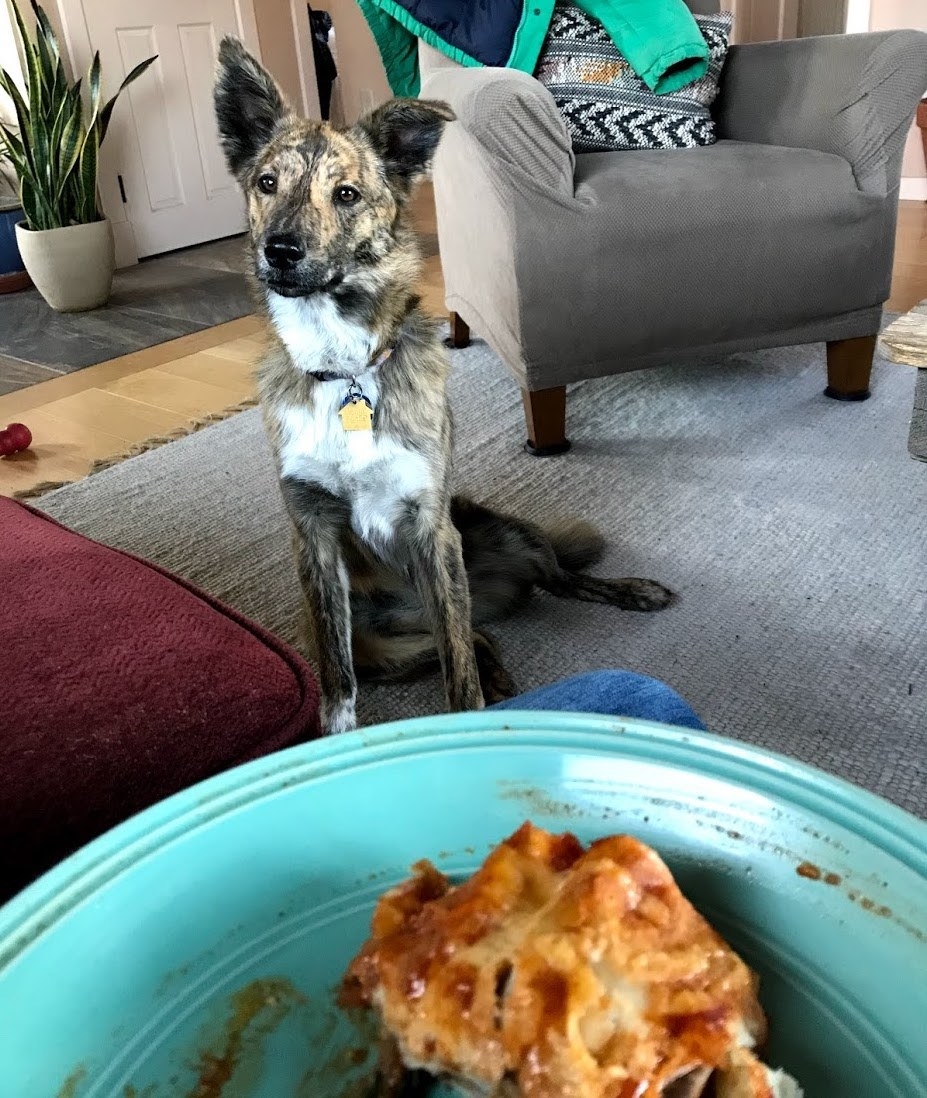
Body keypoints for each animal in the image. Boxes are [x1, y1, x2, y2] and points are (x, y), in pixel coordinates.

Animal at [211, 38, 672, 733]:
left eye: (346, 194)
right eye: (267, 183)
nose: (280, 251)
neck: (344, 367)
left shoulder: (433, 528)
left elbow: (460, 673)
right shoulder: (313, 536)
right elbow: (338, 680)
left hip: (501, 533)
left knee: (549, 587)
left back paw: (630, 592)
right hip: (388, 648)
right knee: (480, 635)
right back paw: (502, 673)